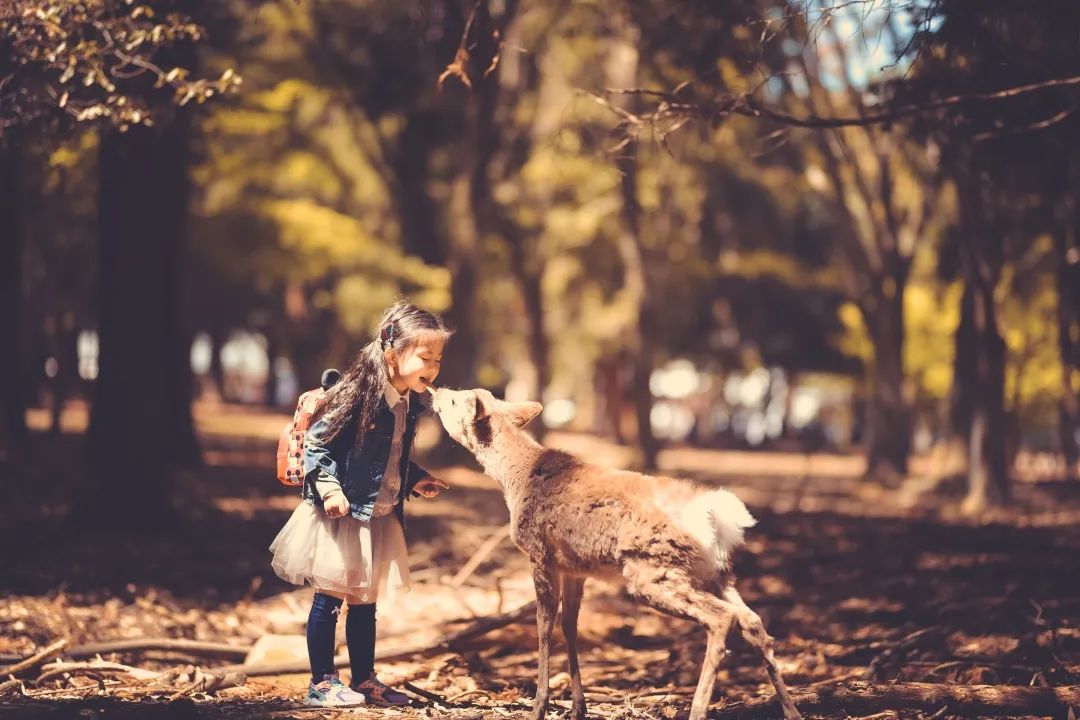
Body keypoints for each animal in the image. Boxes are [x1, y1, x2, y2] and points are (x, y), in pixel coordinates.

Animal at [427, 388, 803, 720]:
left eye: (457, 400)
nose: (436, 390)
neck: (515, 479)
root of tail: (715, 517)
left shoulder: (539, 553)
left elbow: (544, 625)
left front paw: (539, 707)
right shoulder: (574, 568)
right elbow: (569, 625)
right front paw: (578, 708)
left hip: (652, 570)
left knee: (722, 618)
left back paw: (697, 710)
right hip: (715, 573)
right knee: (752, 620)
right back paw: (791, 709)